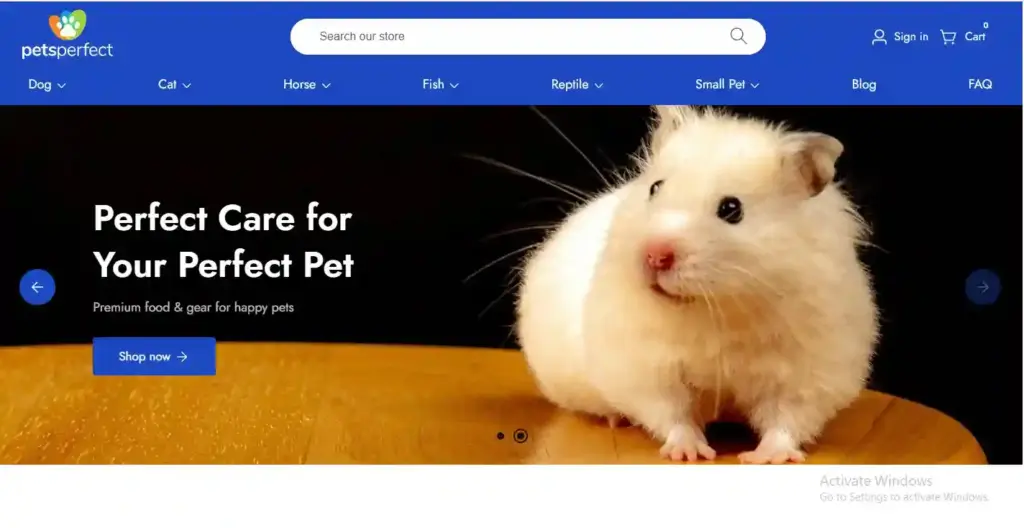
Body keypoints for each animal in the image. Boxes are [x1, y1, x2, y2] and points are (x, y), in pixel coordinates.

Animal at [515, 105, 878, 464]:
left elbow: (786, 419)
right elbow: (673, 414)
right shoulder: (649, 367)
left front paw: (766, 457)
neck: (718, 308)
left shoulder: (808, 374)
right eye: (655, 188)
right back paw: (615, 418)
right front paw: (690, 453)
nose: (654, 255)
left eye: (731, 209)